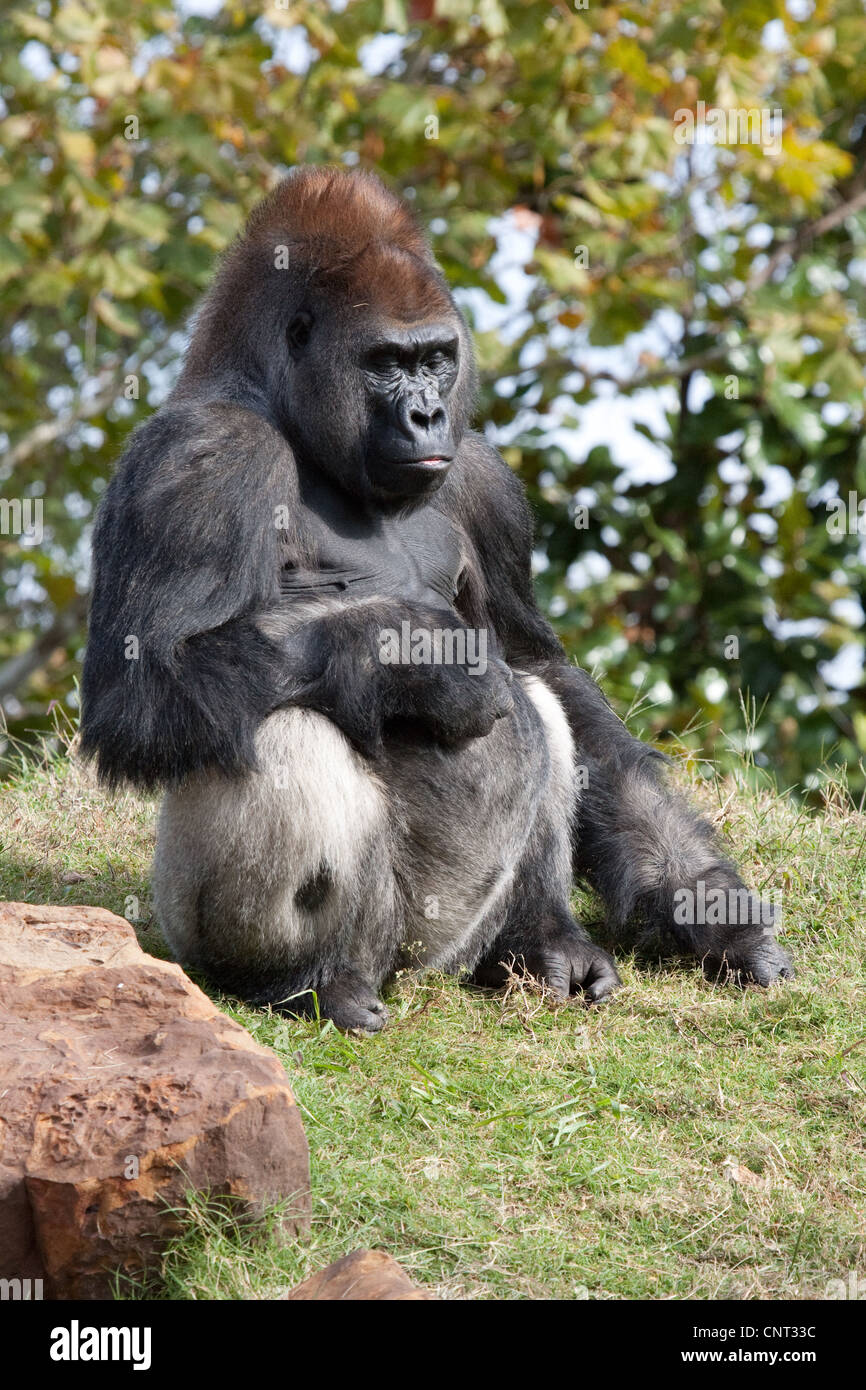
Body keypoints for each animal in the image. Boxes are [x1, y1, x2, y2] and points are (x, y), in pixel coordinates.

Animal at [80, 167, 794, 1031]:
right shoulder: (202, 458)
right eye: (386, 362)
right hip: (230, 934)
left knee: (535, 707)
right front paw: (414, 658)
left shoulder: (485, 480)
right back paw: (311, 980)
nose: (427, 414)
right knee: (287, 731)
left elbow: (546, 675)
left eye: (436, 359)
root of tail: (408, 972)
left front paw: (708, 911)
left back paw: (539, 939)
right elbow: (142, 685)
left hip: (447, 939)